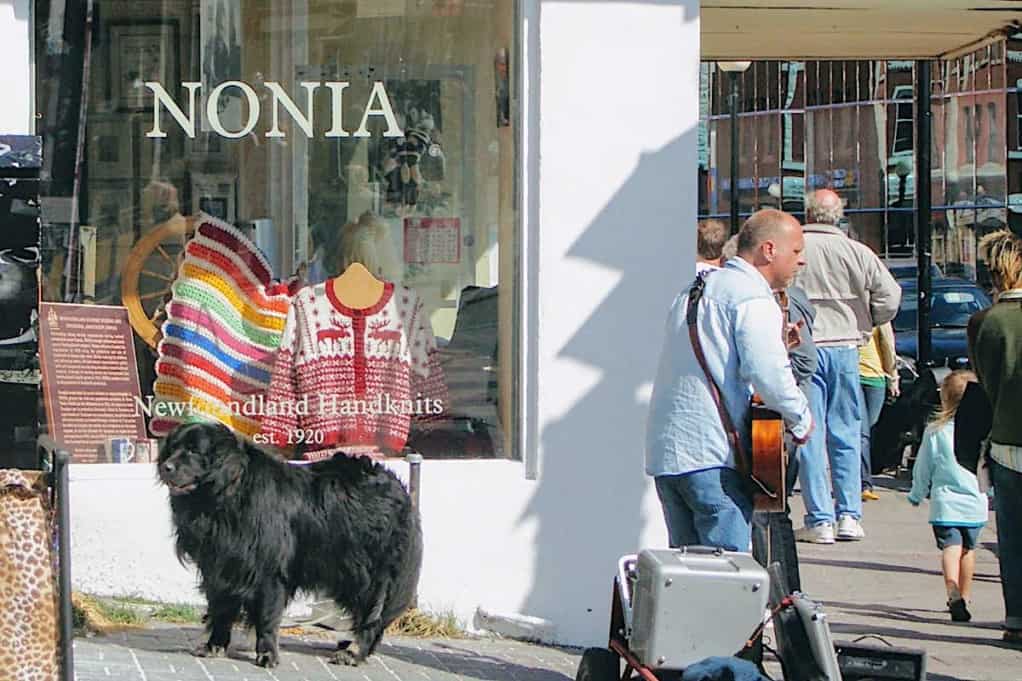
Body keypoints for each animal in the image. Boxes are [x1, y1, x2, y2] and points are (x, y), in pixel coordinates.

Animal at [156, 421, 419, 666]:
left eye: (193, 450)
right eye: (172, 448)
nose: (165, 467)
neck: (226, 495)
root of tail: (397, 485)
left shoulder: (269, 570)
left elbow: (266, 616)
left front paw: (267, 654)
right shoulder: (220, 566)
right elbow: (221, 610)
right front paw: (214, 646)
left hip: (370, 572)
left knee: (372, 615)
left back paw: (353, 652)